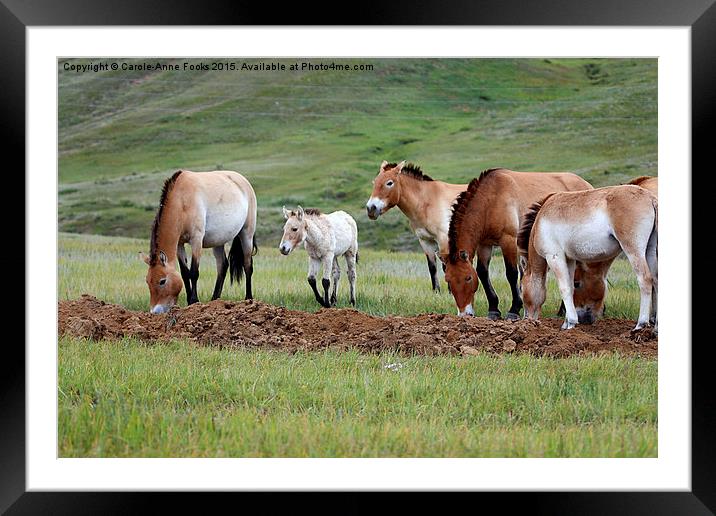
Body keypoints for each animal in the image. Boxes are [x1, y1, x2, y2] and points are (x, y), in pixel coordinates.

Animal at [139, 169, 258, 314]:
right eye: (147, 281)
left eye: (162, 281)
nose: (155, 311)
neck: (182, 200)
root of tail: (244, 181)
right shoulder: (179, 244)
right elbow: (185, 273)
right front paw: (189, 301)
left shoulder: (196, 240)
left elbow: (194, 272)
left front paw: (194, 301)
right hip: (218, 241)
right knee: (223, 266)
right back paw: (215, 299)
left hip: (247, 234)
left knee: (248, 266)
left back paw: (248, 299)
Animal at [366, 159, 468, 292]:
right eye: (374, 182)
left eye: (389, 183)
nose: (371, 209)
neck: (426, 202)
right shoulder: (425, 241)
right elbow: (432, 268)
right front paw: (437, 292)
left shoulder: (443, 240)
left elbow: (447, 266)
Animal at [442, 167, 592, 318]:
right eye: (448, 280)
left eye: (468, 278)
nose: (464, 314)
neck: (490, 200)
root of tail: (587, 184)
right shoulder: (484, 244)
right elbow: (483, 272)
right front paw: (494, 309)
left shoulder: (508, 240)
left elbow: (512, 273)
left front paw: (514, 310)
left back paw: (564, 311)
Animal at [516, 184, 656, 330]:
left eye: (521, 288)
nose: (527, 320)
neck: (540, 221)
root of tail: (650, 197)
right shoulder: (569, 260)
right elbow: (570, 288)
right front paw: (566, 324)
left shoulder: (554, 257)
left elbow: (564, 288)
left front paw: (571, 322)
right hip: (650, 251)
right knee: (656, 281)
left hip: (634, 251)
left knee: (645, 280)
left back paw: (641, 324)